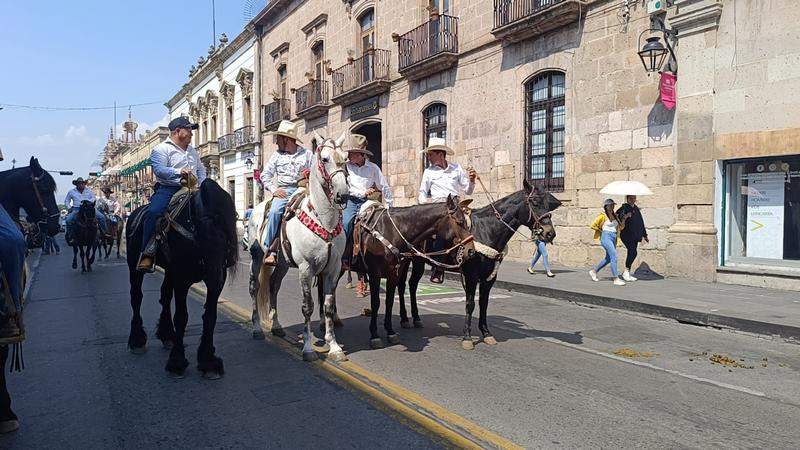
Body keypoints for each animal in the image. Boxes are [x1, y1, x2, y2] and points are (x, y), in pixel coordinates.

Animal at [125, 180, 238, 380]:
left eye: (226, 238)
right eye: (204, 236)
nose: (214, 277)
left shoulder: (212, 281)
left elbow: (210, 316)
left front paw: (208, 361)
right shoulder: (182, 280)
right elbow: (181, 317)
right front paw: (176, 362)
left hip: (170, 271)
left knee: (164, 296)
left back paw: (167, 334)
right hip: (135, 267)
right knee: (136, 297)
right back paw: (137, 339)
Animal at [248, 131, 348, 362]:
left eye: (346, 158)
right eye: (325, 159)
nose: (343, 194)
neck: (325, 222)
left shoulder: (333, 269)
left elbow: (328, 306)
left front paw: (334, 347)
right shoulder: (306, 269)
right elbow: (307, 306)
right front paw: (309, 348)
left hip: (282, 264)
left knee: (273, 287)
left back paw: (276, 327)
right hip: (257, 259)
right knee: (255, 288)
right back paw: (257, 329)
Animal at [396, 181, 560, 350]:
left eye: (548, 205)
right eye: (534, 202)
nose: (549, 233)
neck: (486, 230)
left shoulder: (489, 277)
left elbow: (484, 303)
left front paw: (486, 333)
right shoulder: (471, 276)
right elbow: (470, 304)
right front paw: (467, 337)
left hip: (418, 262)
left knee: (412, 285)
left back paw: (416, 318)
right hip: (406, 260)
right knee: (402, 286)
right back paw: (404, 319)